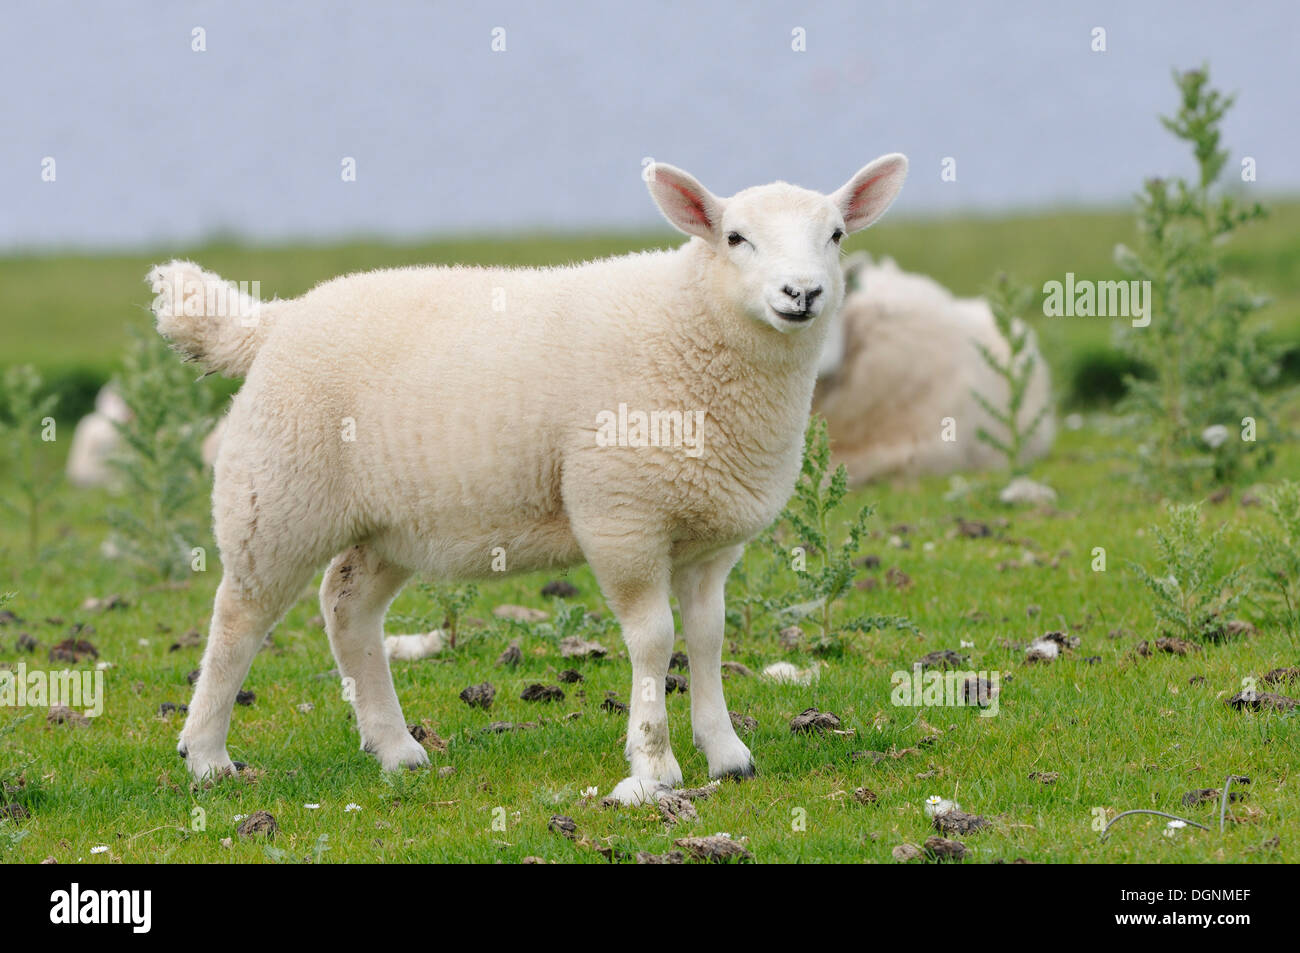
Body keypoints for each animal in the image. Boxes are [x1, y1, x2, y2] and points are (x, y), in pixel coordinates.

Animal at [149, 152, 904, 800]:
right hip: (276, 498)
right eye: (736, 237)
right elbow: (654, 640)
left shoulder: (709, 538)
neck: (691, 324)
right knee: (239, 617)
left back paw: (396, 748)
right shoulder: (621, 516)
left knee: (347, 606)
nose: (801, 293)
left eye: (836, 234)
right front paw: (654, 764)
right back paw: (207, 755)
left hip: (391, 521)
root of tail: (275, 320)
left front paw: (728, 754)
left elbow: (708, 638)